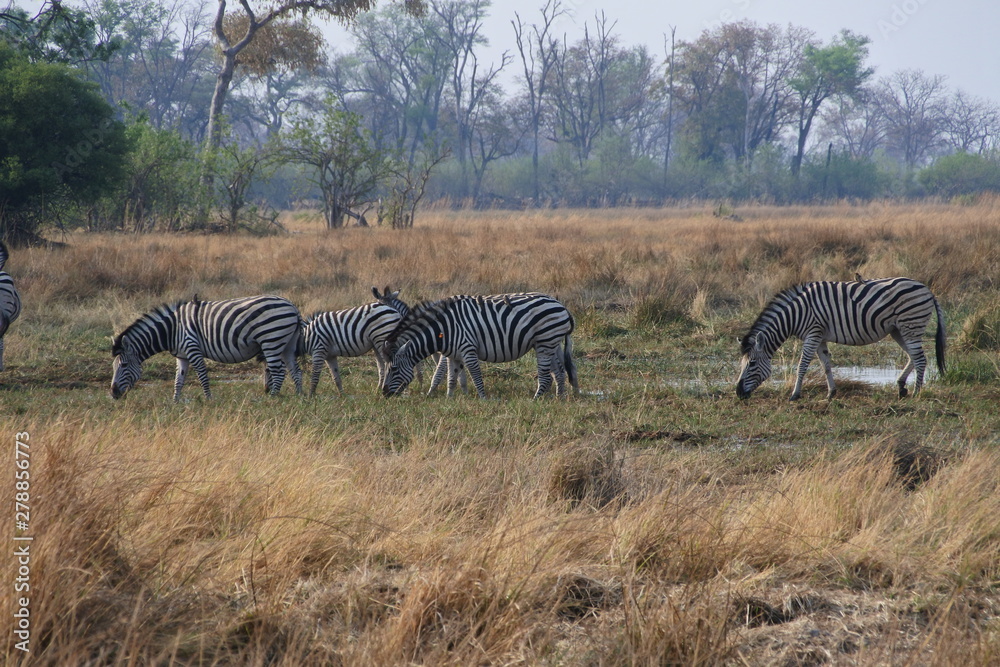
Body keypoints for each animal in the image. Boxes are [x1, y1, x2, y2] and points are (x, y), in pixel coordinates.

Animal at [110, 295, 303, 401]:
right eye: (113, 367)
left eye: (124, 366)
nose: (113, 393)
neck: (172, 330)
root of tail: (292, 306)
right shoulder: (182, 356)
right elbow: (178, 380)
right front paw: (175, 402)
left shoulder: (192, 348)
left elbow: (203, 376)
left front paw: (209, 399)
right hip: (287, 344)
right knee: (296, 370)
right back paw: (299, 396)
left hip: (271, 340)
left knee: (278, 371)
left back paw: (272, 398)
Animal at [381, 292, 578, 399]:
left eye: (394, 369)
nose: (384, 393)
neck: (444, 329)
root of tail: (561, 305)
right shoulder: (453, 355)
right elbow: (451, 378)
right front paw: (449, 399)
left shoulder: (468, 349)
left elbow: (476, 376)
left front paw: (483, 399)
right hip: (549, 342)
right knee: (559, 372)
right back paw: (560, 398)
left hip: (545, 342)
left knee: (546, 377)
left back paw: (535, 400)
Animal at [736, 277, 946, 401]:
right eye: (741, 364)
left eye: (752, 364)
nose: (738, 393)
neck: (796, 313)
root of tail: (927, 289)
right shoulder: (819, 336)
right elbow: (826, 365)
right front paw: (831, 393)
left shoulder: (812, 333)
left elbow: (802, 365)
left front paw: (795, 394)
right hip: (898, 329)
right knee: (913, 356)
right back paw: (902, 387)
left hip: (910, 325)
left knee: (920, 358)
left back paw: (917, 393)